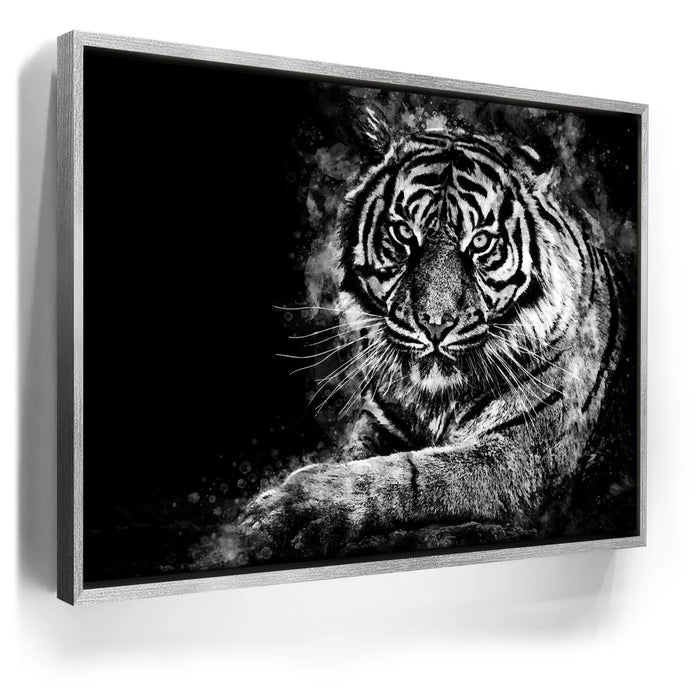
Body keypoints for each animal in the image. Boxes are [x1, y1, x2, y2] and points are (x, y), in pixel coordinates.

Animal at [228, 103, 634, 565]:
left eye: (481, 242)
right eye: (404, 233)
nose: (435, 324)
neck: (435, 398)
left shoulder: (523, 456)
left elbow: (410, 473)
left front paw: (289, 508)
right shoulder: (381, 422)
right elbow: (361, 458)